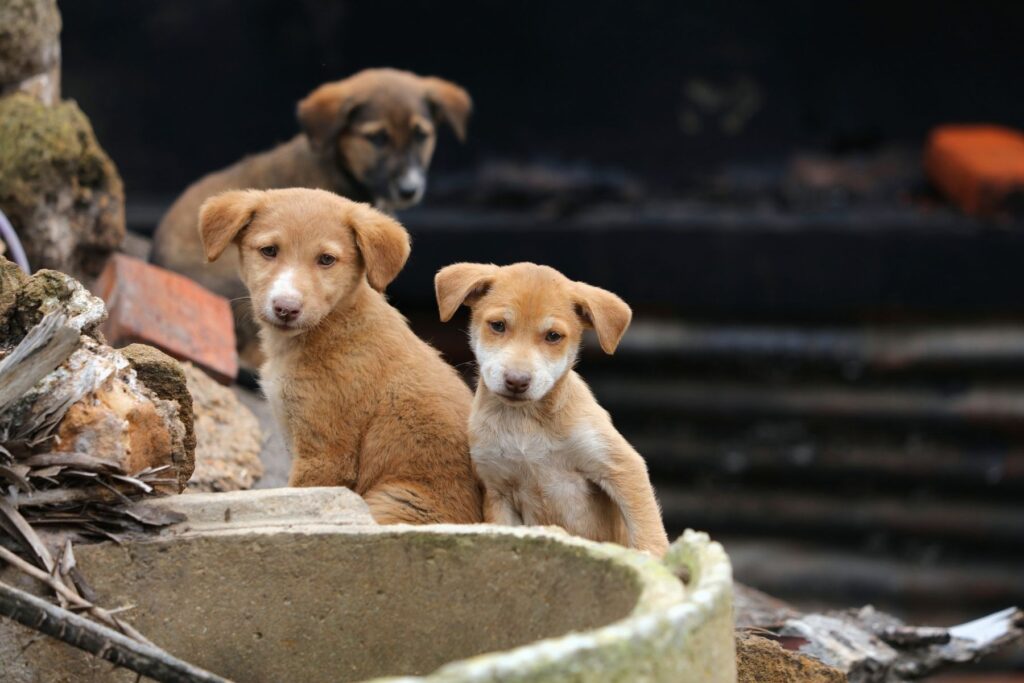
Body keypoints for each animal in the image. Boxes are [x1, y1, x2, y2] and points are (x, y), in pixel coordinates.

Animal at [434, 262, 667, 557]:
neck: (525, 423)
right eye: (498, 325)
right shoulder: (498, 491)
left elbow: (647, 530)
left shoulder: (621, 466)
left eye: (553, 336)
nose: (517, 381)